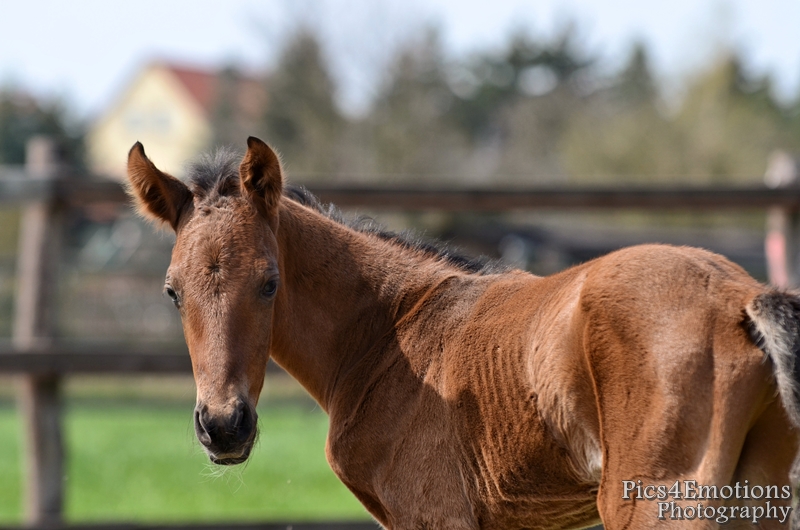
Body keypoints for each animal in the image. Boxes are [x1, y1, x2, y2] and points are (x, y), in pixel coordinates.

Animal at [125, 137, 800, 528]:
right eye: (172, 290)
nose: (224, 427)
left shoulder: (435, 515)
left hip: (655, 504)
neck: (390, 333)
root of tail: (740, 298)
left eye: (269, 282)